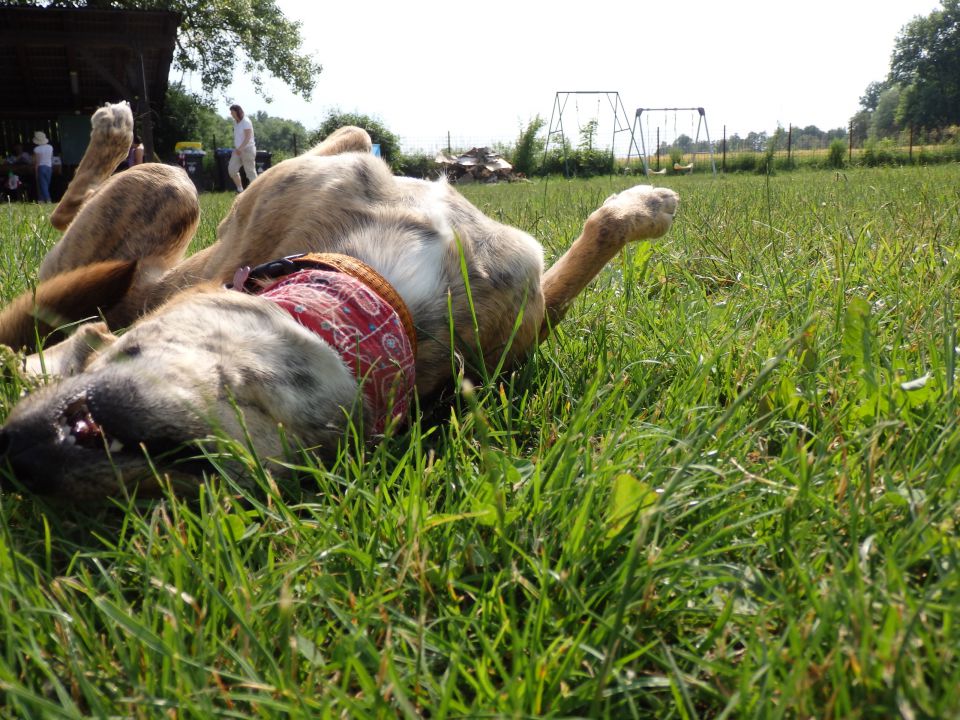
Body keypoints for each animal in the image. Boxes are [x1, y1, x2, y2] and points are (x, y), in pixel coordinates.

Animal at [0, 102, 680, 500]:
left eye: (185, 481)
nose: (21, 454)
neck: (382, 292)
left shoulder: (524, 303)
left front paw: (644, 204)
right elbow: (351, 133)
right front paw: (647, 203)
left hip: (161, 201)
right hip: (164, 192)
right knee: (70, 209)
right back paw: (112, 132)